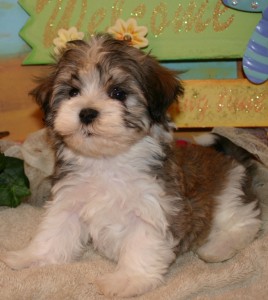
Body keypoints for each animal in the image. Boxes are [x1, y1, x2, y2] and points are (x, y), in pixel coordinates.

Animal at [1, 33, 262, 298]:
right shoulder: (69, 199)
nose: (86, 113)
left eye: (118, 93)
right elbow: (54, 231)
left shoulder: (154, 207)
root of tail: (231, 159)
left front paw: (127, 280)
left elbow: (141, 244)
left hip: (229, 195)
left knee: (245, 223)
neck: (107, 160)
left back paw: (217, 248)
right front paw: (30, 257)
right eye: (73, 92)